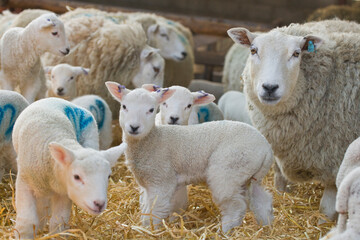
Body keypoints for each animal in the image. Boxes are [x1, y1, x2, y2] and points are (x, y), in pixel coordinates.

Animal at [11, 97, 127, 238]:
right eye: (76, 177)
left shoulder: (64, 190)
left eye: (108, 176)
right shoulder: (24, 182)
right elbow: (27, 221)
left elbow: (58, 223)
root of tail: (56, 99)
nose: (99, 204)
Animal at [105, 82, 274, 232]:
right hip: (251, 177)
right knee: (262, 201)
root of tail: (266, 148)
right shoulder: (147, 185)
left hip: (229, 171)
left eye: (151, 110)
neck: (153, 140)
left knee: (235, 206)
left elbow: (155, 212)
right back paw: (266, 228)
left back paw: (224, 231)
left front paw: (149, 231)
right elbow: (146, 209)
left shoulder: (161, 181)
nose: (134, 127)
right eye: (124, 107)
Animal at [228, 19, 360, 221]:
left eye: (297, 53)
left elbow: (326, 209)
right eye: (253, 50)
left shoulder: (336, 160)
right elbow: (280, 185)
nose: (270, 87)